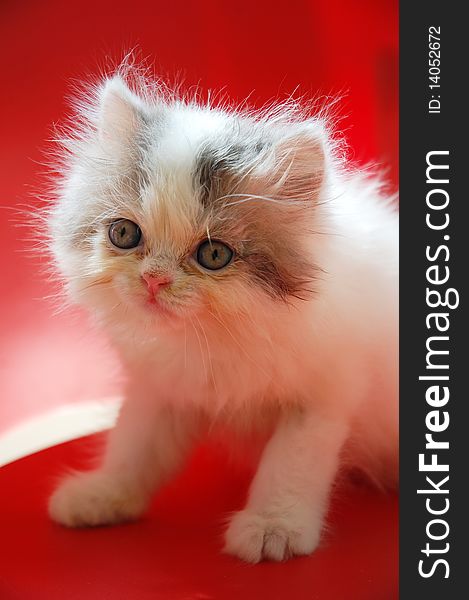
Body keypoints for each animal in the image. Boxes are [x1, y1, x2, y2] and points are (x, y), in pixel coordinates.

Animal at [47, 69, 396, 564]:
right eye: (124, 234)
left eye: (214, 255)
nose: (154, 280)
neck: (213, 338)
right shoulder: (162, 388)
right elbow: (133, 447)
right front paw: (102, 494)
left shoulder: (322, 396)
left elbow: (291, 464)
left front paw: (273, 528)